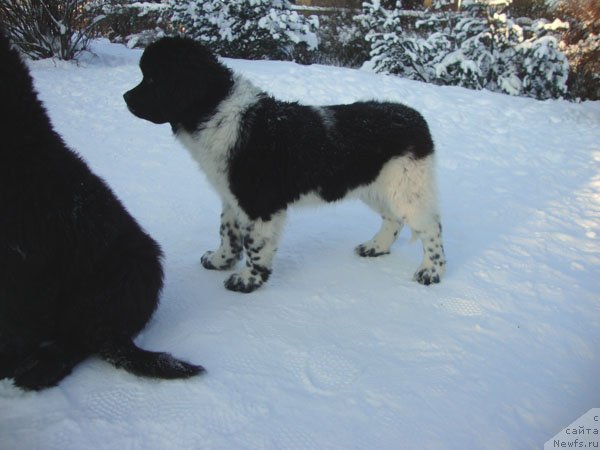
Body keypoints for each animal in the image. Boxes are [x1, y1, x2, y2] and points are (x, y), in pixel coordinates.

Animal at [125, 37, 446, 294]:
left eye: (151, 79)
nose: (125, 98)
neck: (215, 110)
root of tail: (416, 118)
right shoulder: (231, 196)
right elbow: (228, 232)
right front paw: (219, 260)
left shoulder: (259, 204)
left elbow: (255, 244)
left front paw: (247, 280)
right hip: (376, 187)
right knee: (393, 219)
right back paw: (375, 247)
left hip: (407, 188)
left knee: (430, 226)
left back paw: (431, 271)